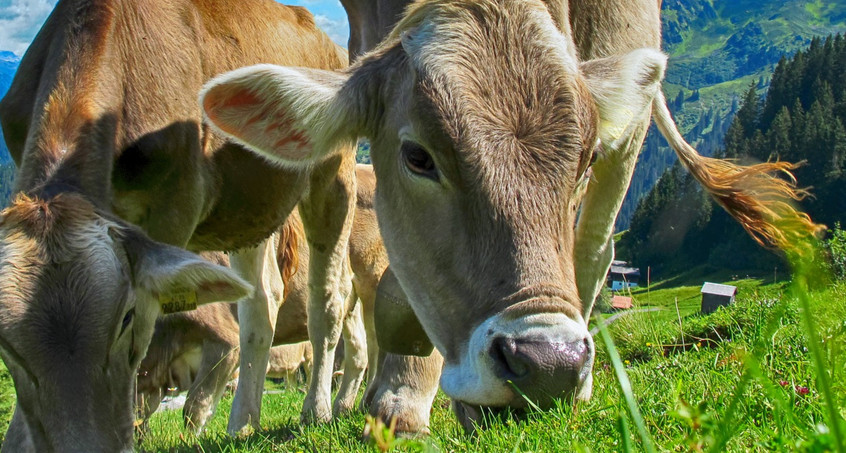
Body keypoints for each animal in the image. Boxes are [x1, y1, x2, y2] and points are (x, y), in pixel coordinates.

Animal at [0, 1, 358, 450]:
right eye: (6, 343)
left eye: (126, 317)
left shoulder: (170, 213)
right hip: (249, 208)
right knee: (261, 302)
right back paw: (243, 422)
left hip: (333, 174)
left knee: (329, 297)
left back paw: (317, 409)